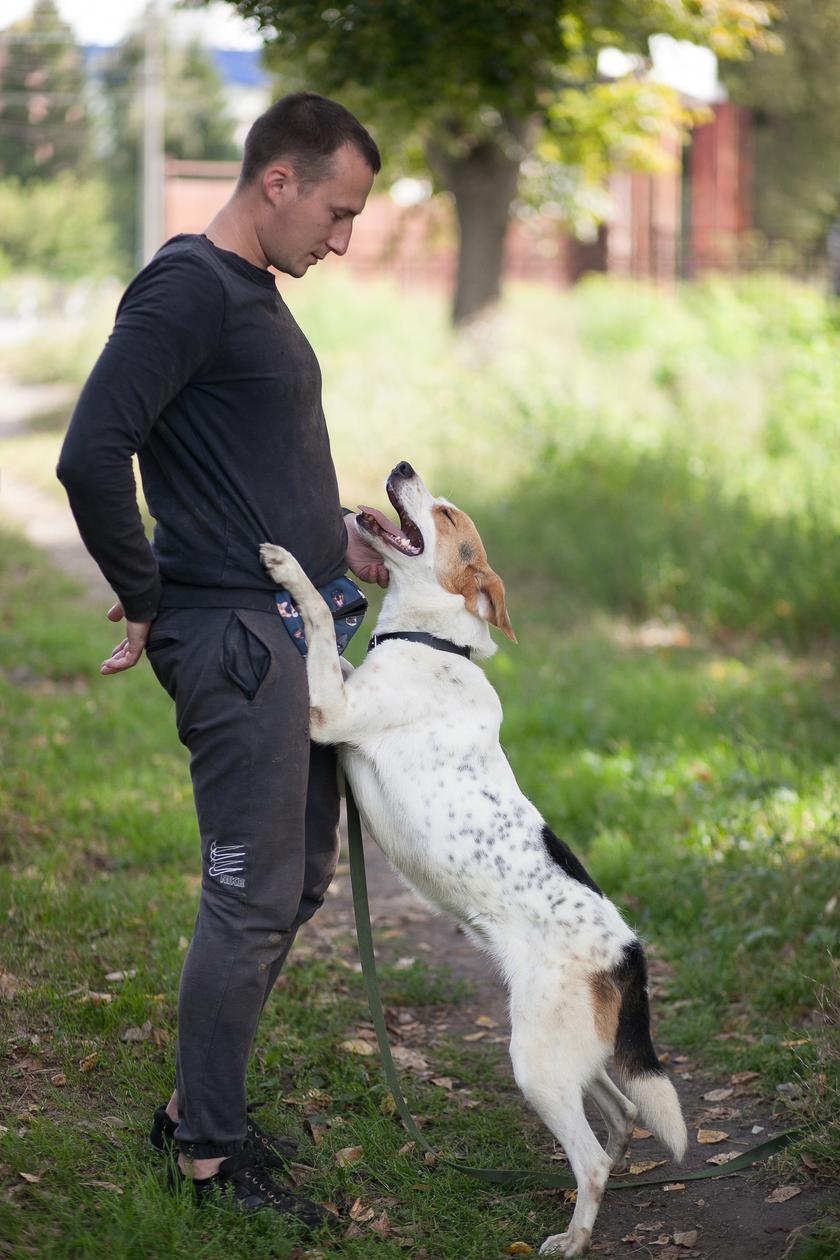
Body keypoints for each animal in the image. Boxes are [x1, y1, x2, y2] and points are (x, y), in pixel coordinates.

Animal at [259, 466, 685, 1260]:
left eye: (449, 513)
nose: (401, 467)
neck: (431, 641)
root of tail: (630, 951)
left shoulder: (330, 716)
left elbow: (318, 618)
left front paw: (289, 571)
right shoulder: (341, 691)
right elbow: (334, 647)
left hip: (536, 1059)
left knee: (591, 1156)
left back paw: (572, 1236)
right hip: (566, 1053)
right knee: (617, 1116)